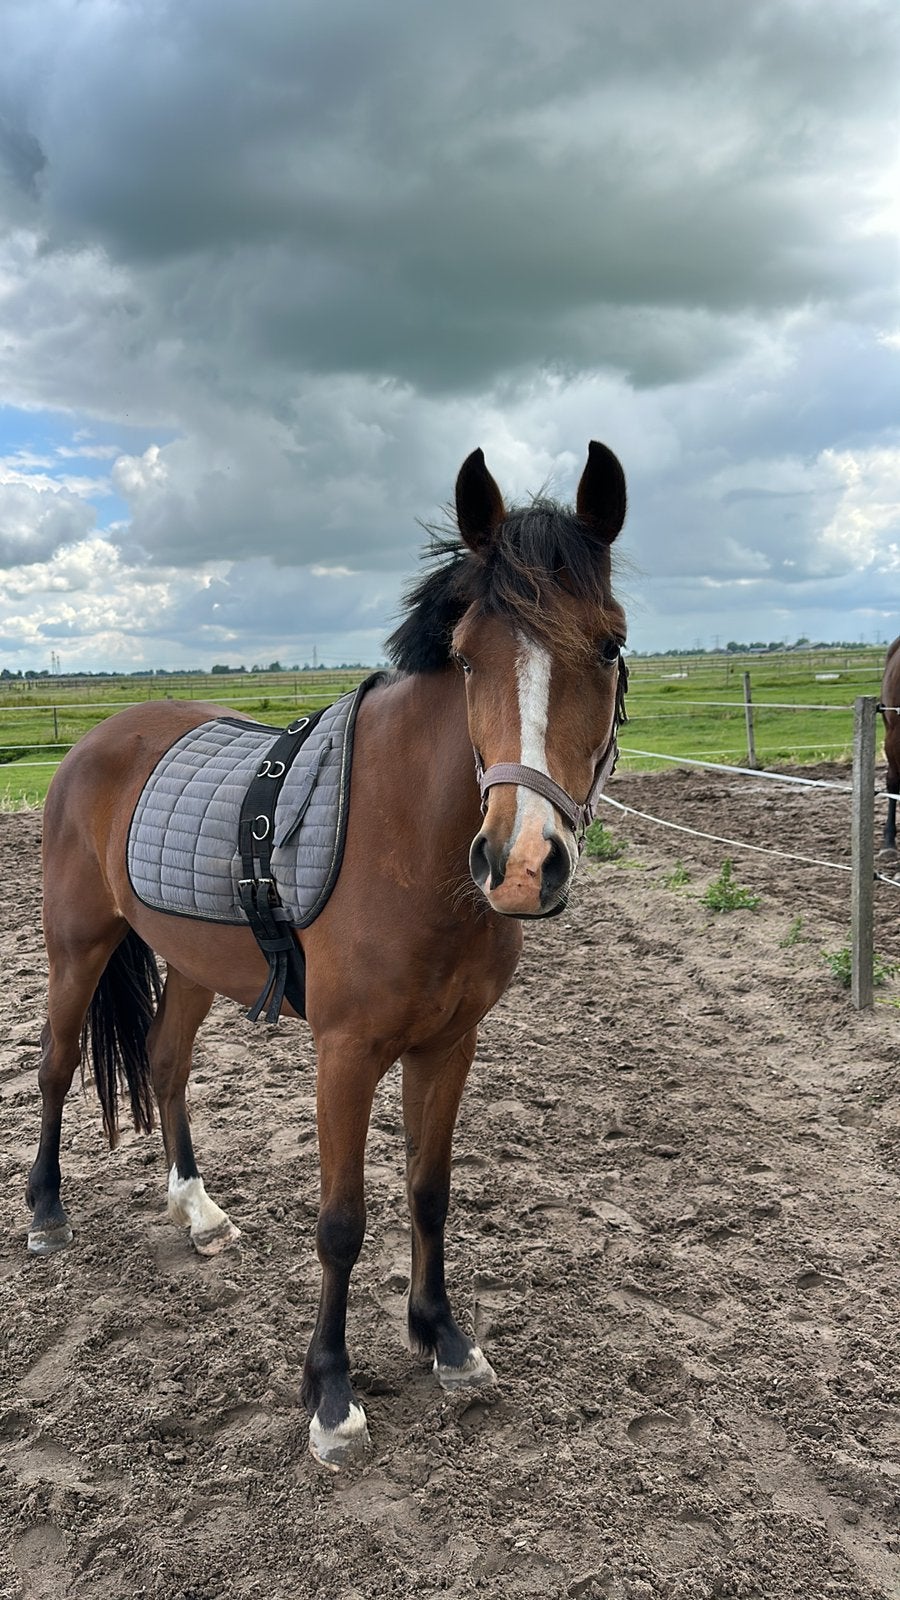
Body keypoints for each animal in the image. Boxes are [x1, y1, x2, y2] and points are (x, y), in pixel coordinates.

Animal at [26, 441, 628, 1468]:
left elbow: (429, 1191)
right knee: (58, 1067)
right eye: (467, 656)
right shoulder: (344, 1054)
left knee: (167, 1063)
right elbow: (343, 1223)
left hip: (190, 967)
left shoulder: (449, 1045)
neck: (410, 843)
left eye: (611, 646)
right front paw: (332, 1395)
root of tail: (99, 740)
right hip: (78, 946)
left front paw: (444, 1340)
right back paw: (44, 1212)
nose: (519, 864)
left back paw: (197, 1211)